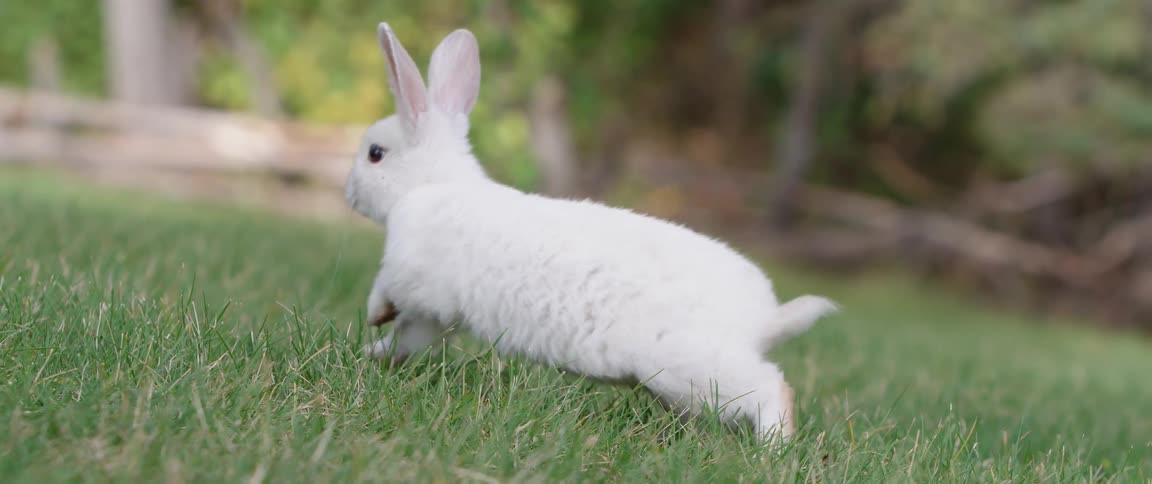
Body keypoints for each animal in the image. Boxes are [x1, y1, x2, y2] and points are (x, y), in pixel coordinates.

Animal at [345, 23, 838, 441]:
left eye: (375, 153)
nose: (348, 193)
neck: (431, 185)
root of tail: (762, 320)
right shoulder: (434, 315)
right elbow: (407, 339)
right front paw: (371, 355)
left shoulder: (413, 278)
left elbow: (385, 293)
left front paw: (372, 316)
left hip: (690, 370)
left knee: (773, 389)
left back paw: (773, 450)